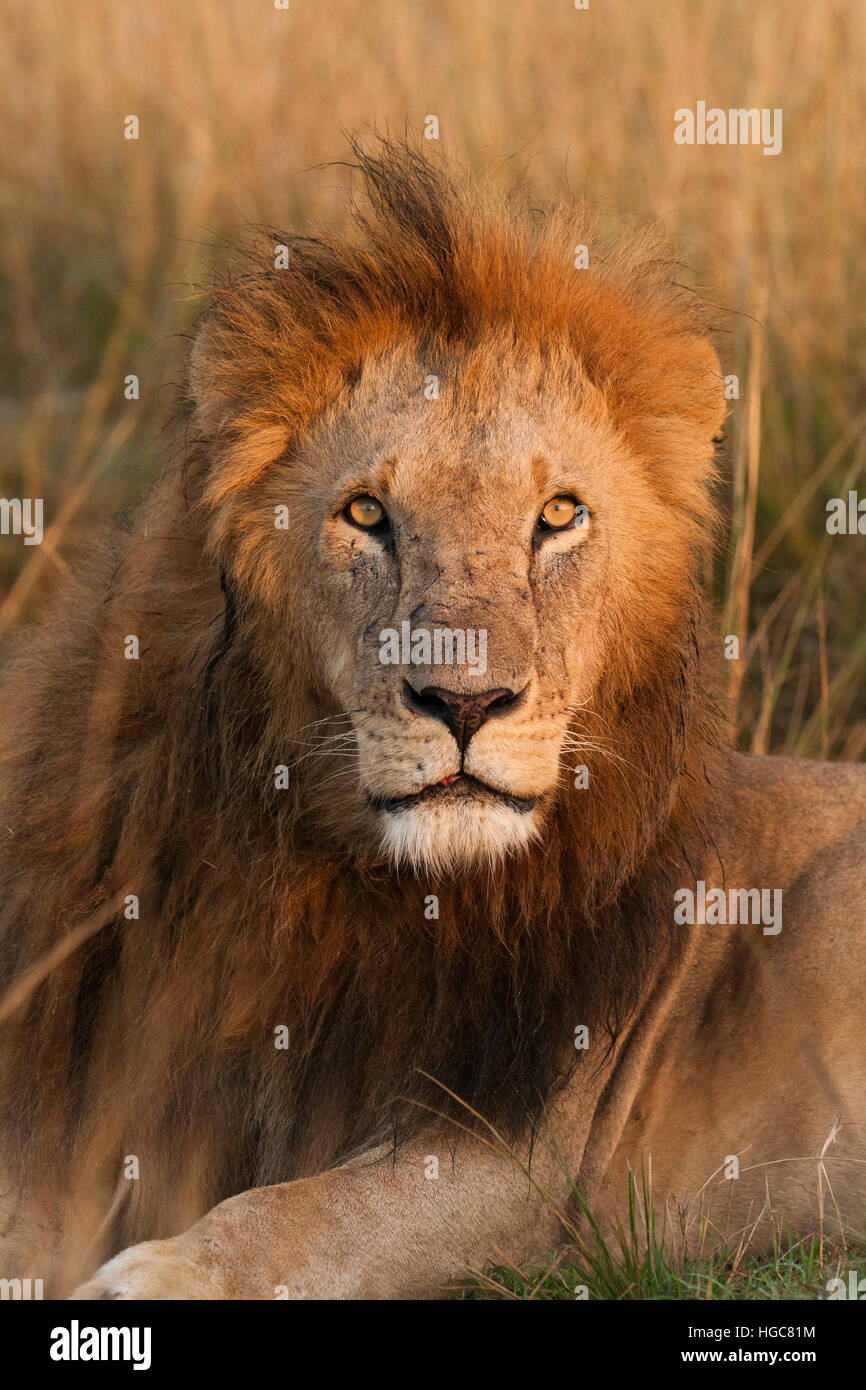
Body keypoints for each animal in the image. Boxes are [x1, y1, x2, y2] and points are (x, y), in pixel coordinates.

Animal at [1, 135, 866, 1295]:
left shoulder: (525, 1159)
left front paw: (158, 1274)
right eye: (366, 513)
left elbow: (297, 1215)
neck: (335, 882)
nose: (466, 700)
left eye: (559, 515)